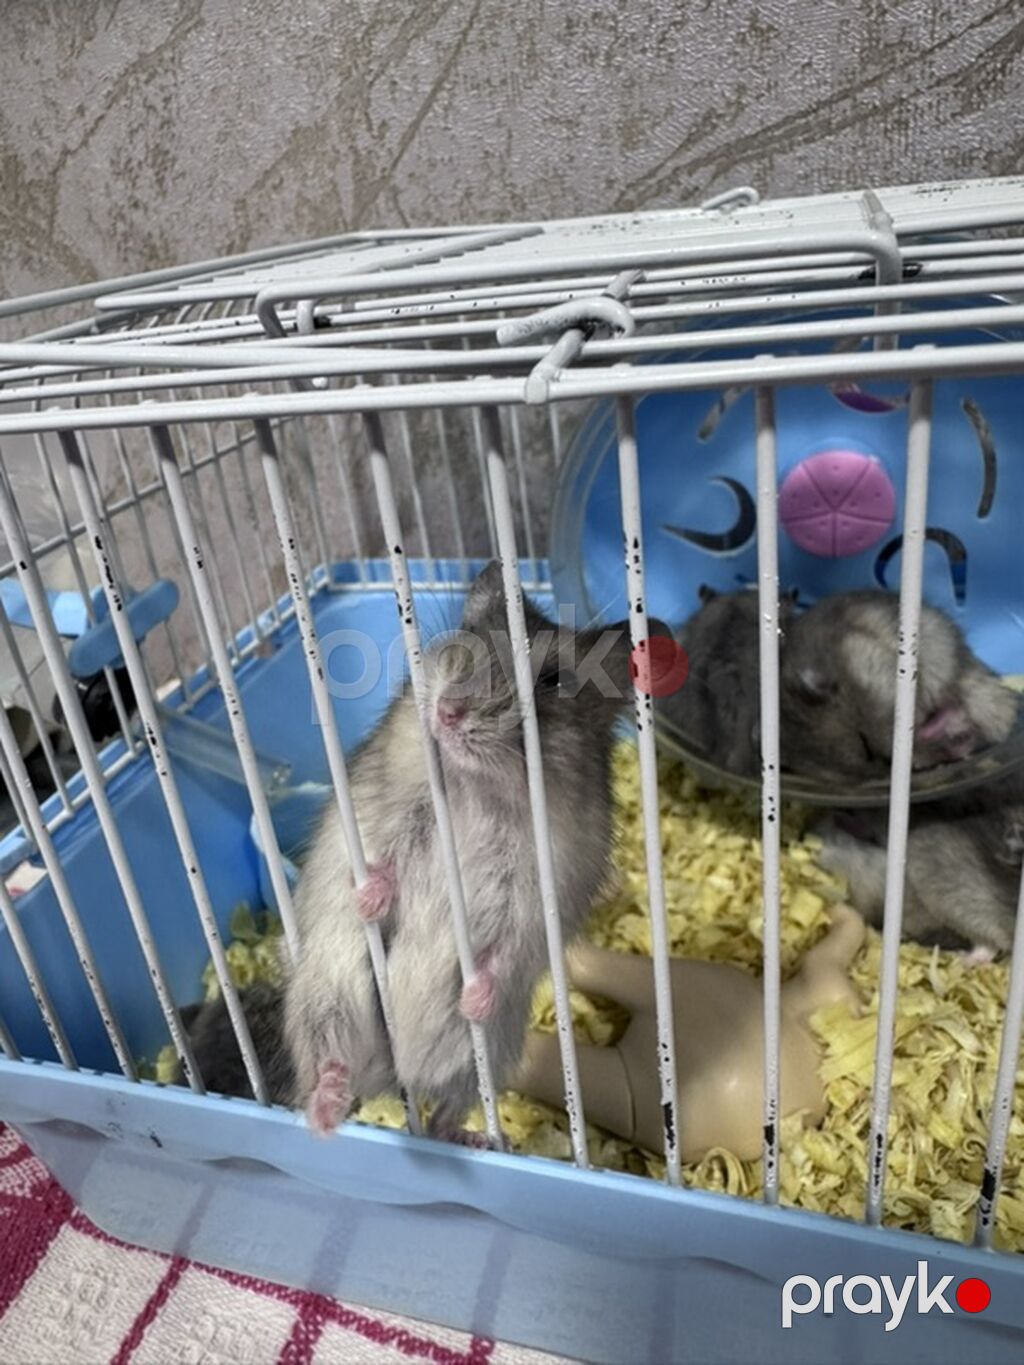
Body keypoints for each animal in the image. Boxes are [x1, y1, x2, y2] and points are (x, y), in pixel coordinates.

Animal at [187, 561, 658, 1139]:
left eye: (551, 681)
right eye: (464, 644)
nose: (448, 713)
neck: (479, 786)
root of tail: (395, 1078)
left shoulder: (536, 893)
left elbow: (504, 948)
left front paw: (473, 999)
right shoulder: (392, 819)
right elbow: (381, 862)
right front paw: (369, 900)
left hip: (490, 1055)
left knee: (445, 1112)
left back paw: (475, 1133)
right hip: (326, 996)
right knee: (329, 1066)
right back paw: (325, 1115)